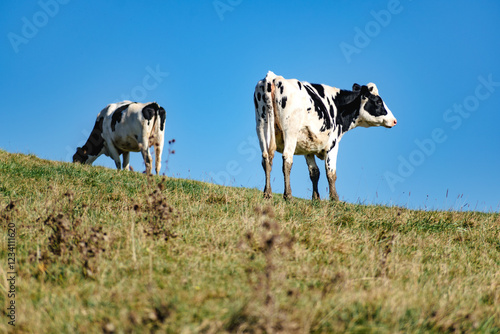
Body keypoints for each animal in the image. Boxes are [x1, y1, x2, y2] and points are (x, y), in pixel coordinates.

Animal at [254, 71, 398, 201]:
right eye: (378, 102)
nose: (394, 120)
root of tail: (274, 77)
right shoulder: (333, 144)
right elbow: (331, 173)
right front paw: (335, 199)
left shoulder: (308, 146)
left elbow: (314, 172)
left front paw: (316, 199)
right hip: (290, 131)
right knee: (287, 160)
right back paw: (288, 196)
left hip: (262, 127)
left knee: (266, 159)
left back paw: (267, 193)